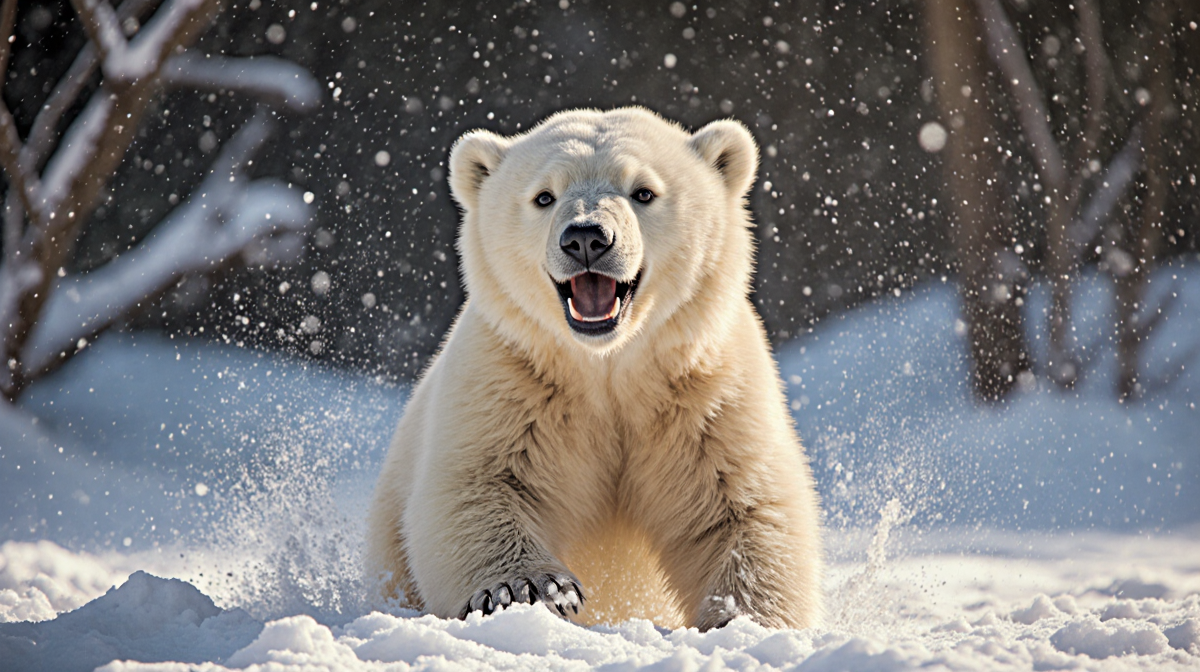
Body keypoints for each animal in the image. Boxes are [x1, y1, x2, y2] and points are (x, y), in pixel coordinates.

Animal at [365, 107, 823, 631]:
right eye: (544, 195)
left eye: (643, 191)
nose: (586, 238)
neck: (605, 365)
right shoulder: (507, 377)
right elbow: (475, 485)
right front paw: (529, 589)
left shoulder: (707, 391)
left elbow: (745, 505)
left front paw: (744, 618)